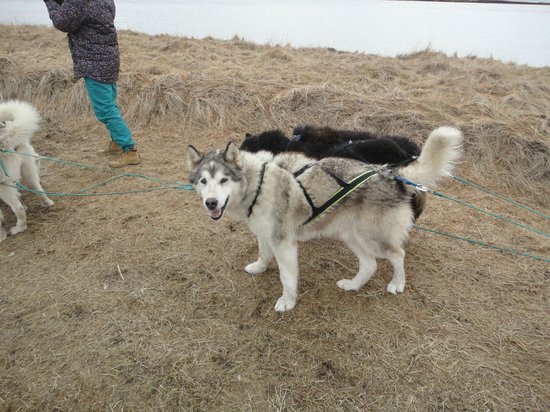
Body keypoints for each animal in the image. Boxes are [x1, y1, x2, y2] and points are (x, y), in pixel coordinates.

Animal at [0, 100, 54, 241]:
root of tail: (5, 139)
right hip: (28, 171)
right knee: (39, 189)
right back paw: (47, 203)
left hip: (3, 186)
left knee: (18, 208)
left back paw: (18, 228)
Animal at [188, 127, 464, 310]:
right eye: (203, 181)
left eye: (224, 179)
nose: (211, 203)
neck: (259, 182)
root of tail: (391, 173)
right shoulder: (266, 234)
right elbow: (263, 254)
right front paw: (259, 267)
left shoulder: (284, 243)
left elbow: (286, 277)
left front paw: (287, 301)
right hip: (351, 236)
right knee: (370, 265)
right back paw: (353, 285)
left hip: (372, 238)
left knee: (398, 255)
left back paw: (397, 283)